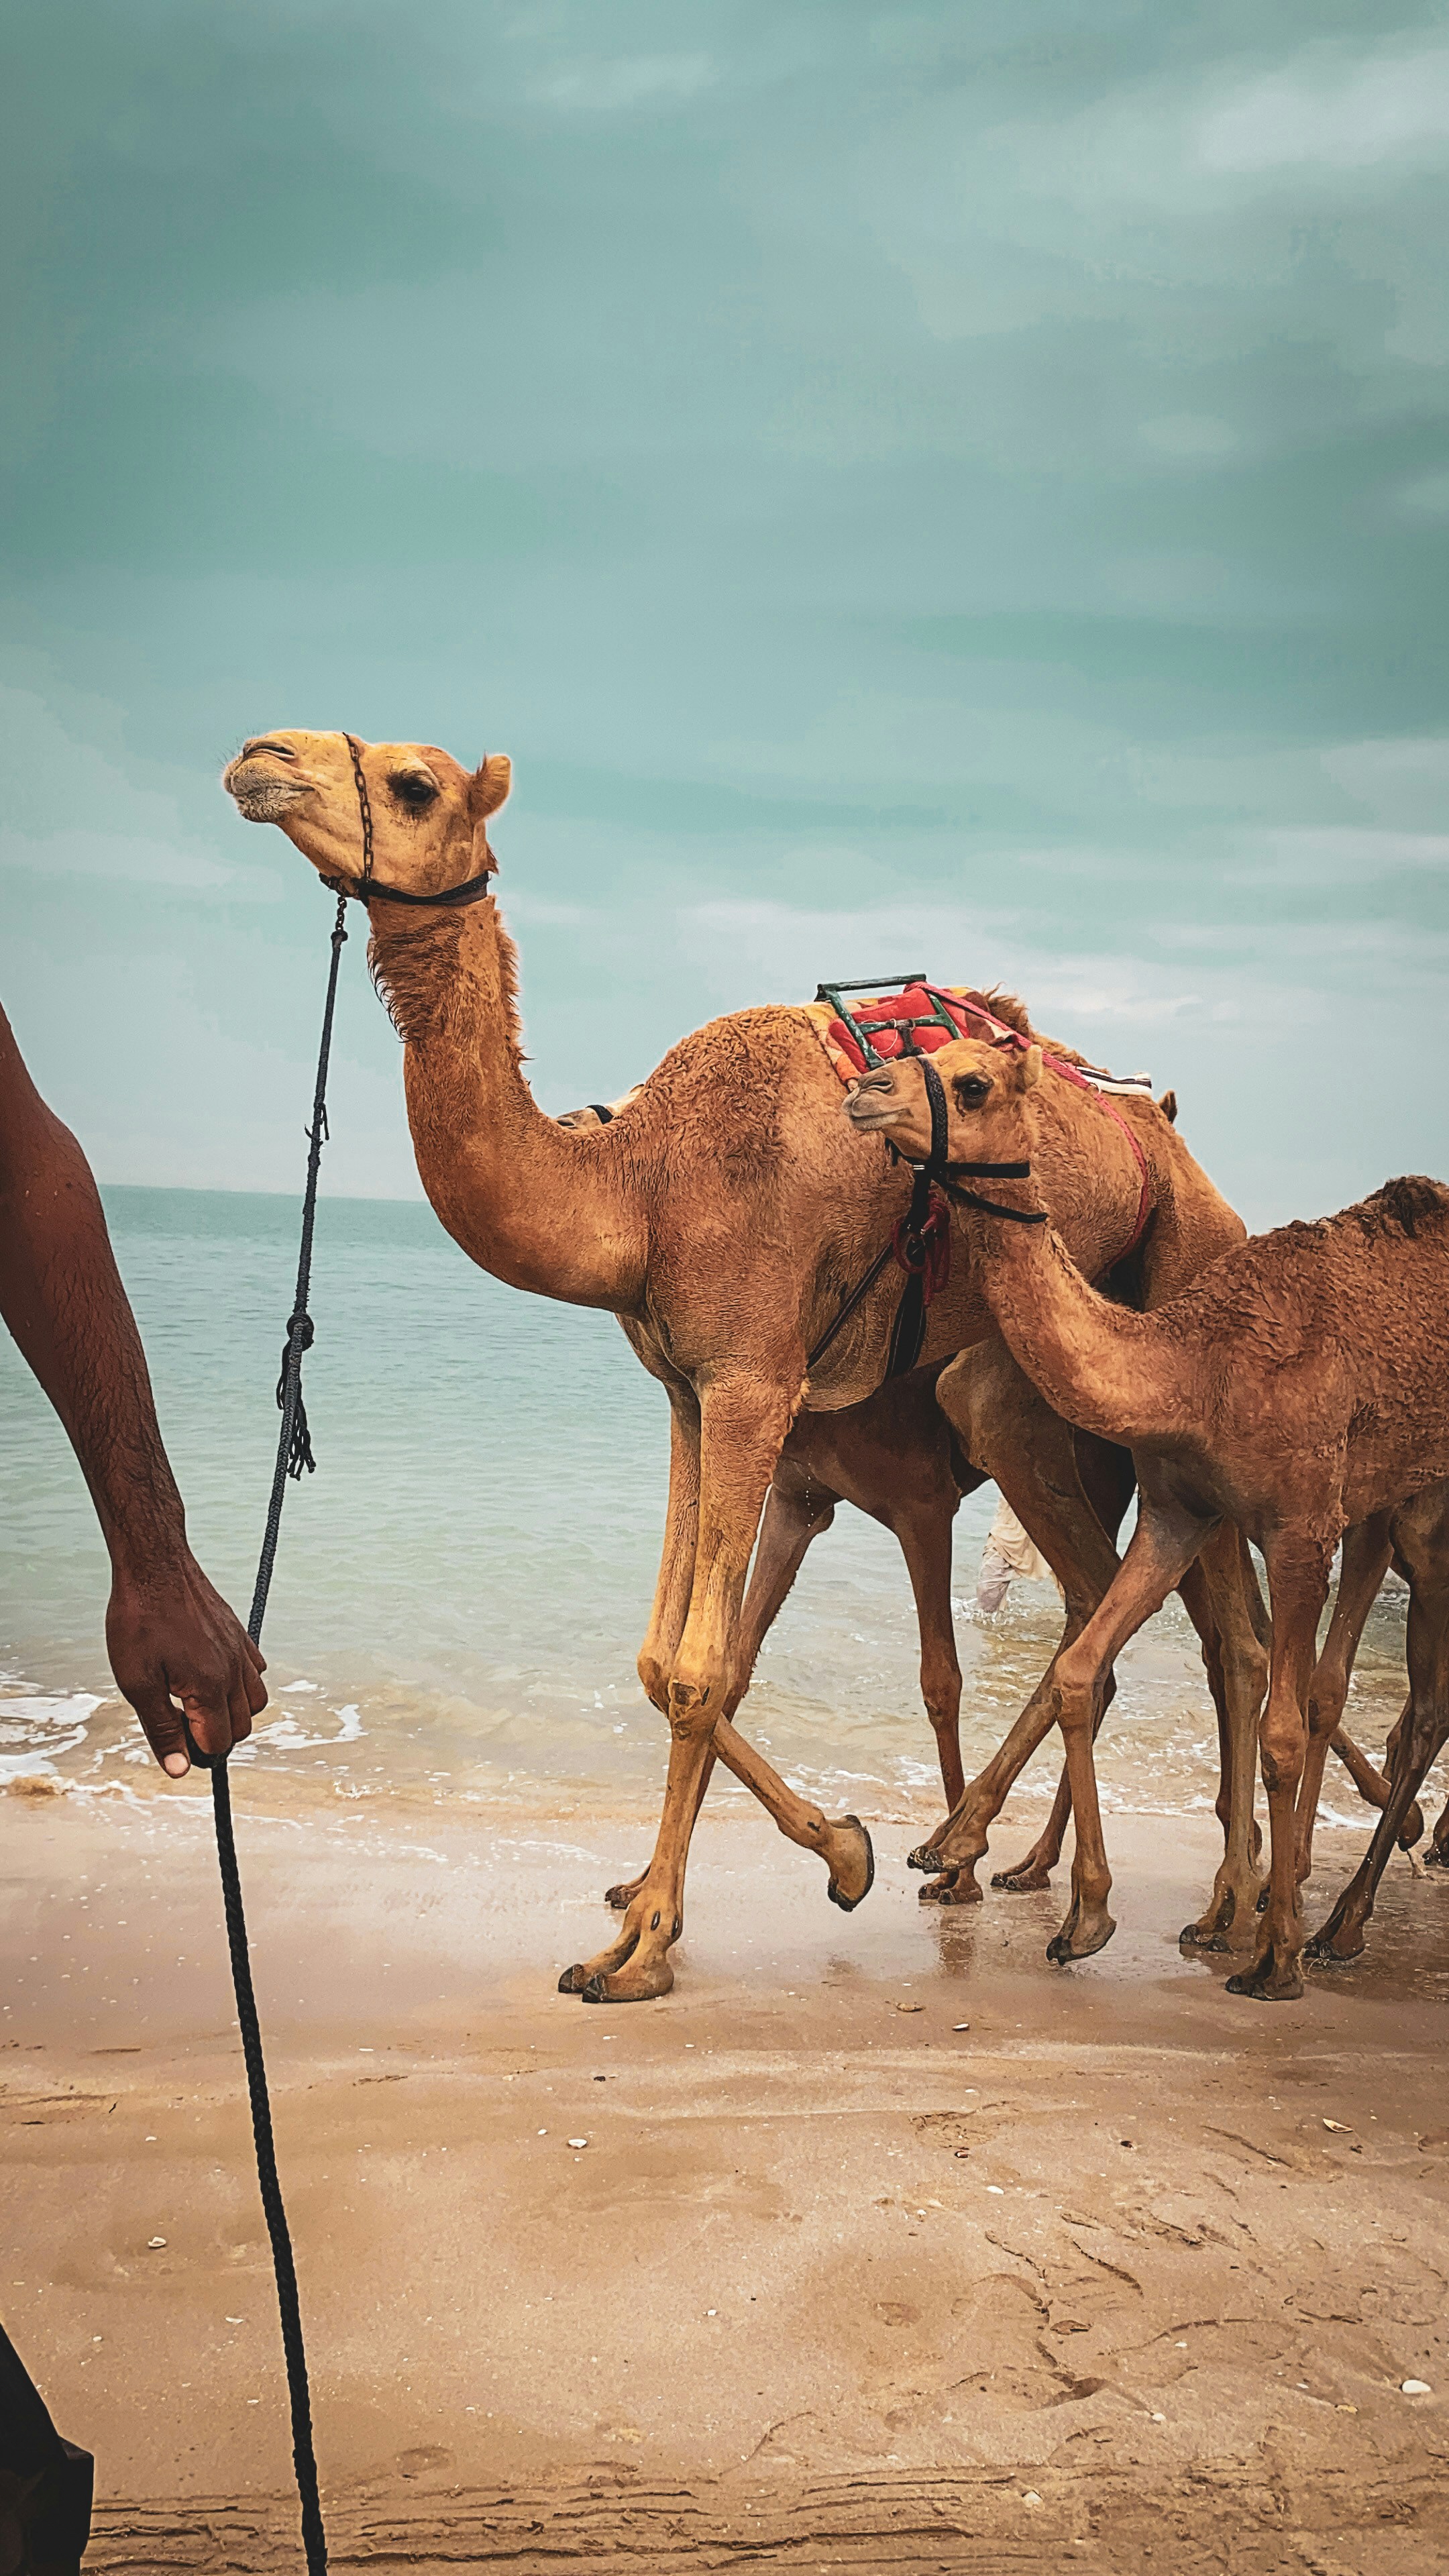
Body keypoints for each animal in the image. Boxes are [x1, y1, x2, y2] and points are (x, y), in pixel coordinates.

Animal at [225, 727, 1266, 2000]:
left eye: (414, 784)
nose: (258, 756)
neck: (641, 1185)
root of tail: (1164, 1135)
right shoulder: (686, 1390)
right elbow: (657, 1658)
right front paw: (839, 1853)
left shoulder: (754, 1383)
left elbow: (697, 1671)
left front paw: (642, 1948)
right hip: (1052, 1390)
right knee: (1108, 1611)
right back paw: (1021, 1867)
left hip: (1170, 1306)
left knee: (1211, 1634)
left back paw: (1176, 1905)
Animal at [846, 1035, 1449, 1998]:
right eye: (925, 1052)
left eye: (973, 1082)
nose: (866, 1088)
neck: (1195, 1364)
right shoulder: (1179, 1510)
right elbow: (1083, 1667)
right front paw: (1086, 1918)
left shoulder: (1302, 1524)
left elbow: (1285, 1721)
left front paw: (1274, 1955)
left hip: (1402, 1515)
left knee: (1382, 1703)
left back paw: (1327, 1924)